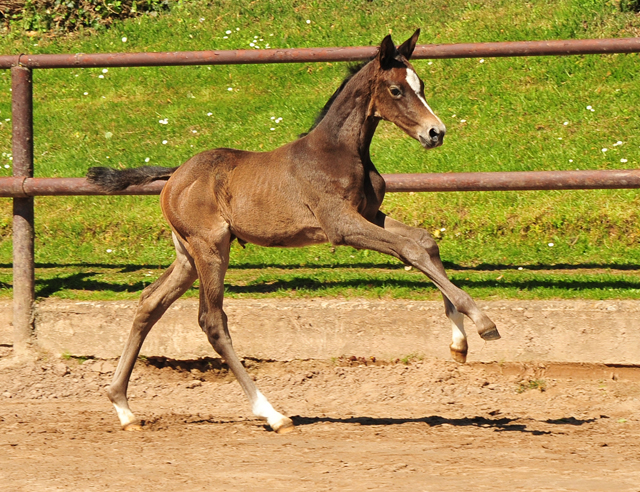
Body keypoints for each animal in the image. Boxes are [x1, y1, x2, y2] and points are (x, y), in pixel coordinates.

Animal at [87, 29, 500, 434]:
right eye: (397, 90)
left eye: (422, 85)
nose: (436, 132)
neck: (339, 151)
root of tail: (175, 176)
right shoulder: (341, 225)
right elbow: (409, 250)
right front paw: (483, 323)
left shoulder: (369, 214)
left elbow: (424, 242)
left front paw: (459, 344)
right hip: (211, 248)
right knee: (212, 321)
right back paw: (272, 414)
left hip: (188, 256)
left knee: (149, 303)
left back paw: (123, 407)